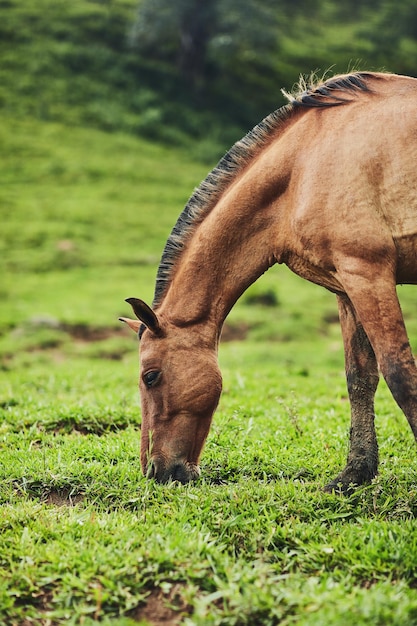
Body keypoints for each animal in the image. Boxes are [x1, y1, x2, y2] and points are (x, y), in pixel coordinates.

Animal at [119, 73, 417, 490]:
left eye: (150, 377)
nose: (157, 471)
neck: (302, 167)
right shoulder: (347, 286)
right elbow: (360, 377)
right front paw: (355, 473)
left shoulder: (367, 271)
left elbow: (399, 373)